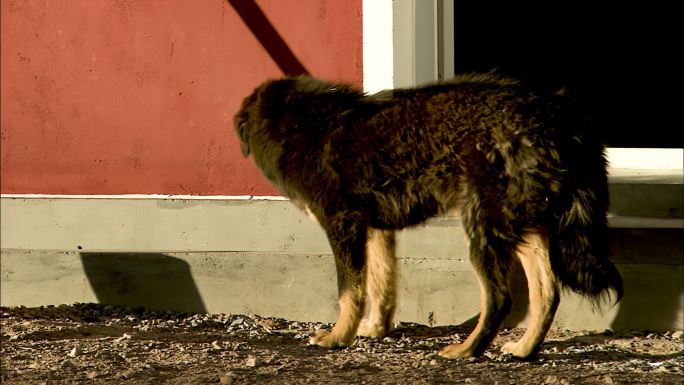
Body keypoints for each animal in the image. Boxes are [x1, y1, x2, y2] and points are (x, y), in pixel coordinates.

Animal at [232, 73, 624, 358]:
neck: (304, 124)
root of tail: (560, 113)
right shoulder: (375, 228)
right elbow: (380, 284)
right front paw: (375, 329)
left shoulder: (343, 224)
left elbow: (349, 291)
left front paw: (338, 337)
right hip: (521, 223)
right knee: (547, 294)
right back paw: (524, 349)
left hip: (484, 227)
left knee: (500, 298)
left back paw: (467, 350)